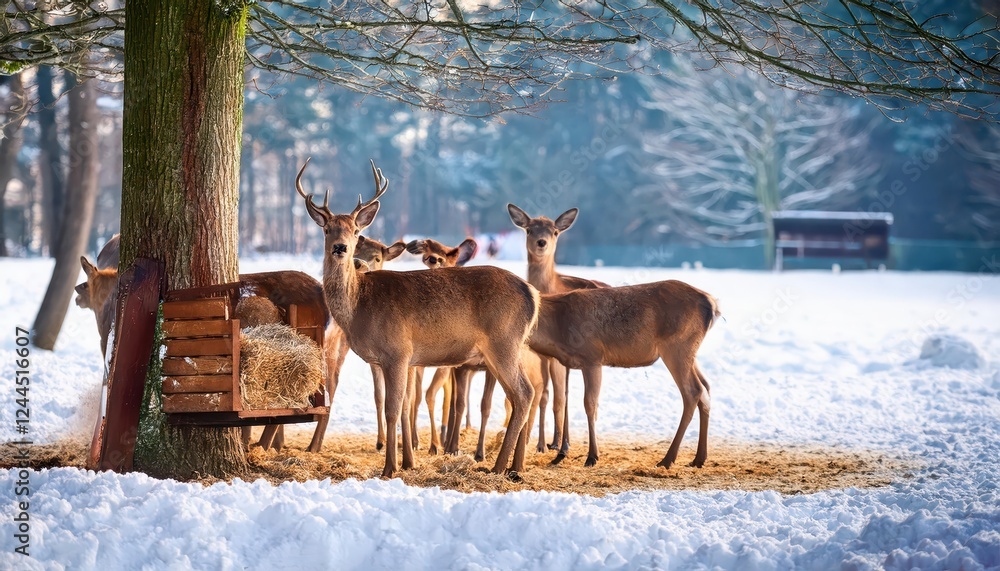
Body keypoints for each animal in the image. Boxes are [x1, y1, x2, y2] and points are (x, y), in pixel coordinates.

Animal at [296, 158, 538, 478]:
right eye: (327, 230)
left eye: (356, 231)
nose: (340, 248)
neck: (360, 305)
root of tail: (532, 294)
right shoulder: (393, 360)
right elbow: (401, 407)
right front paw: (406, 462)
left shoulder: (398, 351)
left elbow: (393, 409)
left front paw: (390, 468)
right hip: (502, 350)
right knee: (520, 395)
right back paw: (512, 465)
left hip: (503, 341)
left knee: (524, 393)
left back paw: (498, 466)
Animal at [507, 204, 610, 460]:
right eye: (529, 229)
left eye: (554, 231)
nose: (541, 242)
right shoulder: (544, 355)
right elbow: (544, 395)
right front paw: (541, 444)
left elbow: (559, 398)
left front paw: (561, 446)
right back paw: (557, 441)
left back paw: (565, 443)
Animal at [527, 281, 720, 469]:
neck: (558, 328)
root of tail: (711, 303)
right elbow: (567, 400)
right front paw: (563, 453)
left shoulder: (592, 357)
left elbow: (590, 404)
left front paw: (592, 456)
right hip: (690, 353)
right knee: (706, 387)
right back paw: (699, 458)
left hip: (677, 346)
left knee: (693, 391)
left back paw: (667, 459)